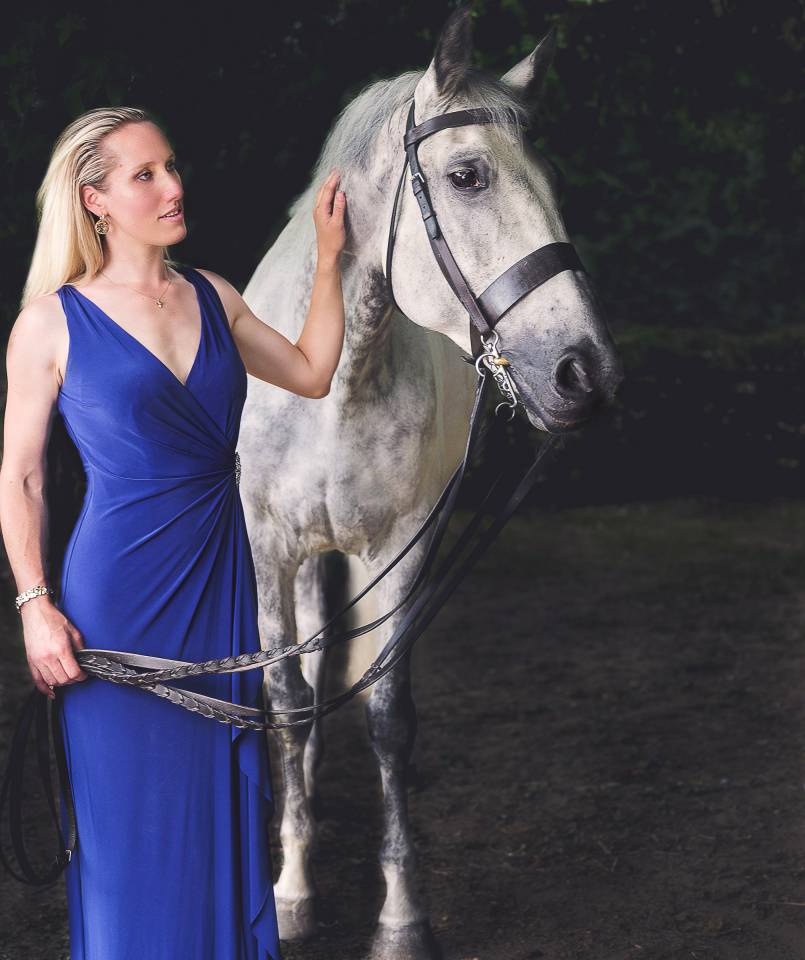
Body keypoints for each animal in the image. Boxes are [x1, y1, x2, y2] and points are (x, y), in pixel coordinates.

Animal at [237, 7, 623, 958]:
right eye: (467, 175)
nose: (585, 372)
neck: (331, 379)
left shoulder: (402, 551)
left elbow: (386, 713)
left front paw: (400, 917)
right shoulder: (269, 548)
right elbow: (287, 701)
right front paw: (290, 890)